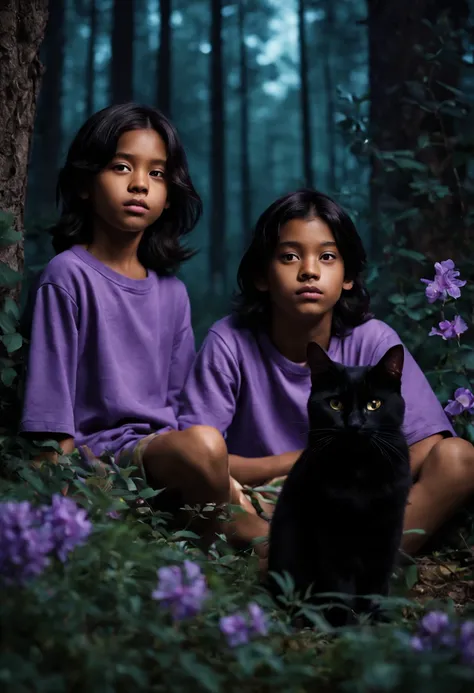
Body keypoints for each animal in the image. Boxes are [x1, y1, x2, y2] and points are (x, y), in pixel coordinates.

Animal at [268, 340, 412, 628]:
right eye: (334, 404)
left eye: (374, 404)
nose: (354, 424)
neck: (360, 473)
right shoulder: (330, 533)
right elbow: (339, 587)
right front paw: (344, 628)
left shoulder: (388, 530)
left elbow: (376, 585)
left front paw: (376, 623)